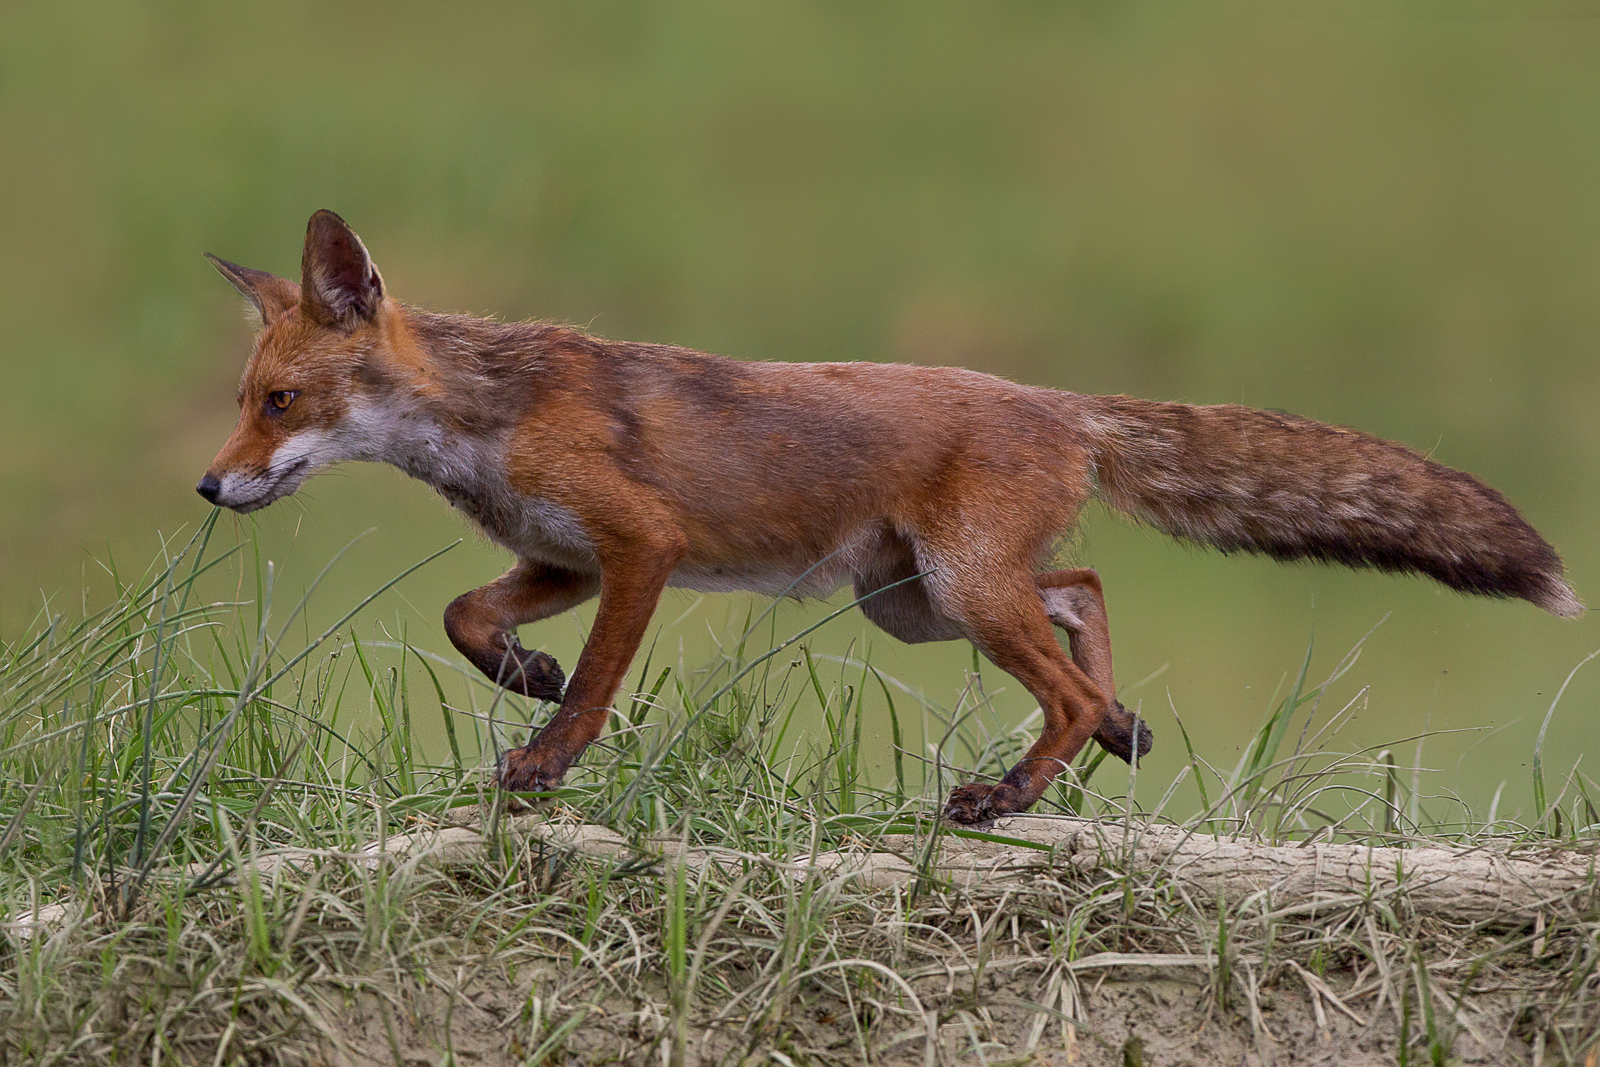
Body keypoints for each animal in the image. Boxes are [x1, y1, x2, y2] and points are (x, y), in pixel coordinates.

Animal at [198, 209, 1582, 824]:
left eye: (279, 401)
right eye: (244, 401)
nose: (209, 487)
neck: (491, 418)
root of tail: (1060, 403)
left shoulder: (638, 547)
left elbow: (595, 683)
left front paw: (545, 755)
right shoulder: (561, 556)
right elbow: (464, 616)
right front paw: (523, 676)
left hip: (953, 592)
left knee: (1061, 665)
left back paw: (1012, 789)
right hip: (913, 602)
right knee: (1085, 589)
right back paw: (1118, 723)